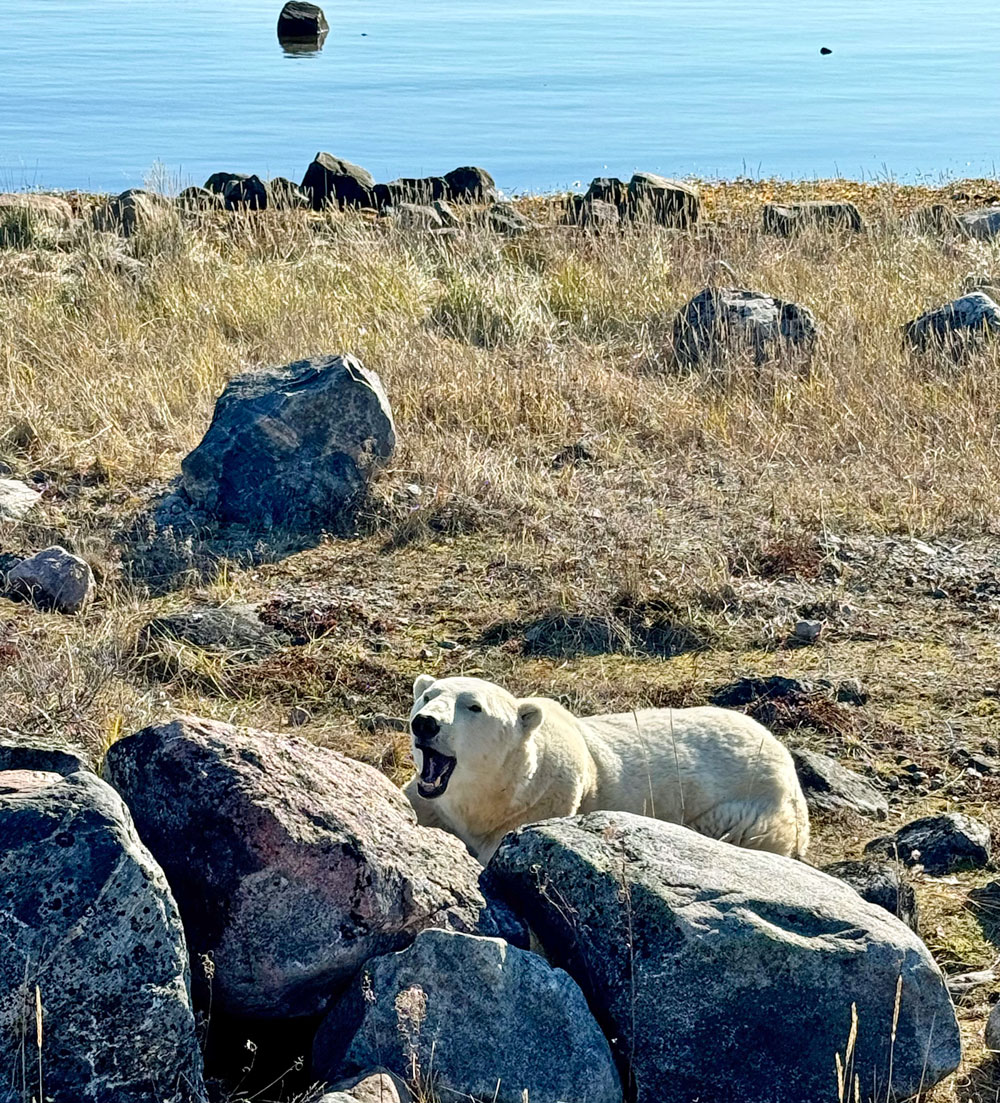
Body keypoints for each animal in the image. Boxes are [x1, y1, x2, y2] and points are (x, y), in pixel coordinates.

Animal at [403, 675, 811, 864]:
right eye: (427, 696)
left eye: (473, 707)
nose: (425, 723)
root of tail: (782, 753)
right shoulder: (430, 803)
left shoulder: (537, 808)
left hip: (750, 809)